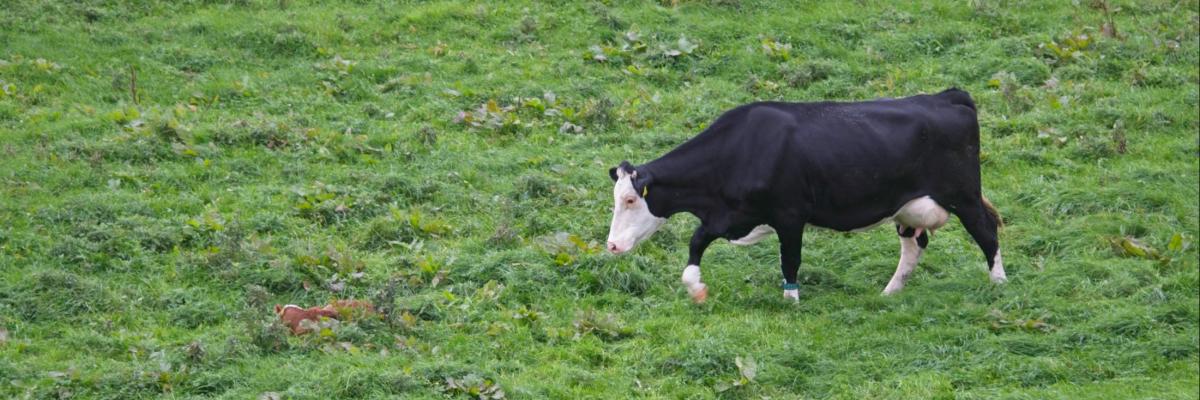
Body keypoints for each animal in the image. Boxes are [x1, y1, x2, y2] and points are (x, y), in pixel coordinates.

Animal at [604, 88, 1008, 302]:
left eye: (630, 199)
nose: (611, 245)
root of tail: (948, 96)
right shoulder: (731, 215)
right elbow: (697, 242)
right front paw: (697, 287)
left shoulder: (789, 215)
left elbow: (790, 261)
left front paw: (791, 301)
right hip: (907, 208)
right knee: (914, 246)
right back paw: (890, 291)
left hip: (964, 195)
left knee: (987, 232)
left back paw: (999, 284)